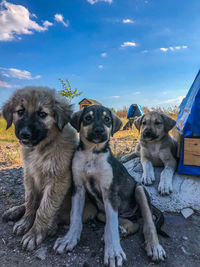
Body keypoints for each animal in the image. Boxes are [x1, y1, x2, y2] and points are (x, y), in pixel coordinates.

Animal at [52, 105, 166, 266]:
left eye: (107, 119)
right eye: (88, 118)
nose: (99, 131)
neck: (92, 154)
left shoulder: (109, 192)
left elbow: (111, 224)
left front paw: (113, 252)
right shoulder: (78, 189)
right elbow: (75, 216)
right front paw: (69, 239)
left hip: (139, 190)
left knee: (147, 223)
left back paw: (154, 247)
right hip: (100, 212)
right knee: (130, 223)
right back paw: (120, 230)